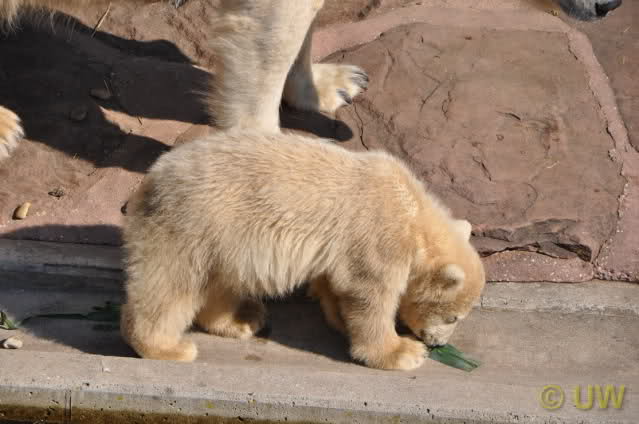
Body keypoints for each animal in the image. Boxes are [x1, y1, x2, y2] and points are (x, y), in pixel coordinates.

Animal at [120, 130, 486, 370]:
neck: (414, 211)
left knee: (218, 281)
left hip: (222, 240)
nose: (438, 344)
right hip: (194, 223)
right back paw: (166, 347)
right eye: (453, 316)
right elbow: (371, 296)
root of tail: (153, 176)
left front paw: (340, 321)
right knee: (170, 284)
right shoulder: (379, 236)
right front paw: (403, 352)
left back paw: (242, 319)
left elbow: (337, 287)